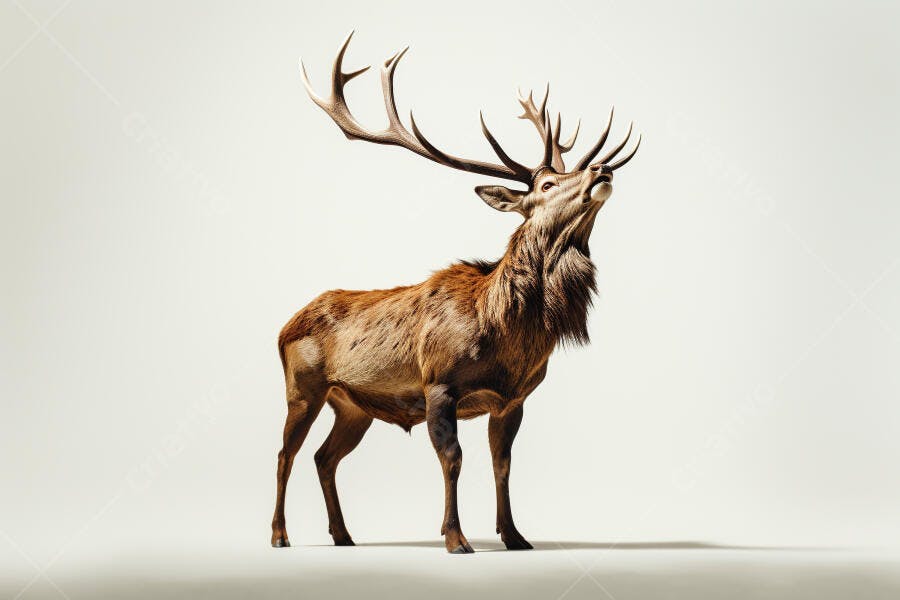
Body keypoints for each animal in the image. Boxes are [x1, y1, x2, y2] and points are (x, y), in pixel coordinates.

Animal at [272, 33, 640, 554]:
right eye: (549, 183)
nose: (602, 170)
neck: (505, 330)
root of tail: (284, 326)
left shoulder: (513, 399)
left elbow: (502, 464)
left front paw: (515, 536)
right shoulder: (438, 383)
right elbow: (453, 459)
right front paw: (456, 538)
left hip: (353, 405)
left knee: (325, 457)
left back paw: (344, 536)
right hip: (302, 387)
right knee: (285, 453)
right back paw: (280, 535)